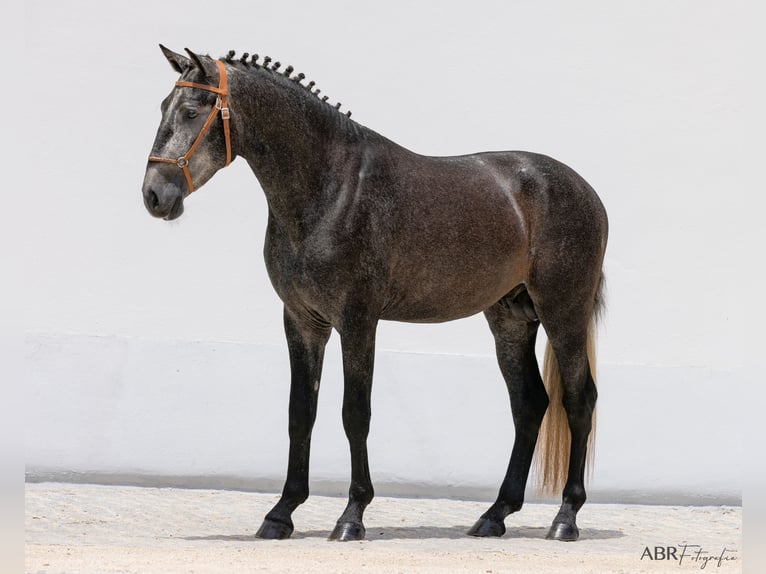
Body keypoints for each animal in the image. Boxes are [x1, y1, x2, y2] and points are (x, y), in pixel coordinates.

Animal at [142, 46, 612, 544]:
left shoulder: (357, 320)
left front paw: (352, 515)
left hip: (563, 313)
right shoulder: (302, 321)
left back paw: (565, 518)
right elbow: (300, 413)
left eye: (193, 111)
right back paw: (494, 514)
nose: (154, 195)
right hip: (510, 320)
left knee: (579, 400)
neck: (331, 189)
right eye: (163, 107)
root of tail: (586, 192)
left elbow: (355, 413)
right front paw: (281, 514)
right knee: (529, 404)